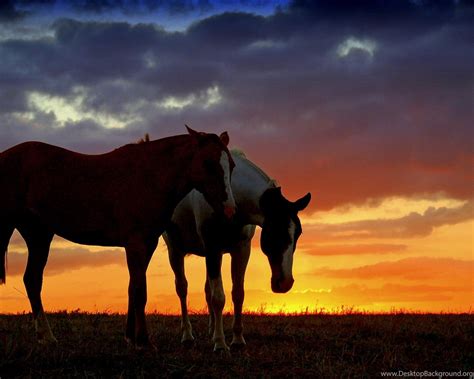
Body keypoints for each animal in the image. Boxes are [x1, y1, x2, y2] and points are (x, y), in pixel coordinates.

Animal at [0, 126, 237, 348]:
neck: (148, 177)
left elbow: (133, 287)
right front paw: (144, 340)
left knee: (32, 280)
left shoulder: (148, 244)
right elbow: (140, 290)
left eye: (232, 165)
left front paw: (131, 337)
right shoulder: (136, 244)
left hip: (38, 235)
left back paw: (46, 336)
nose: (229, 210)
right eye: (208, 163)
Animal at [163, 150, 312, 352]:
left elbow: (237, 294)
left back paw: (211, 330)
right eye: (275, 231)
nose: (285, 283)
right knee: (182, 288)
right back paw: (187, 335)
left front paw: (237, 340)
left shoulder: (241, 250)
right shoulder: (213, 247)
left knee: (207, 289)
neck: (230, 199)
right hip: (176, 250)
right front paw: (220, 343)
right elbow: (218, 298)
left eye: (298, 233)